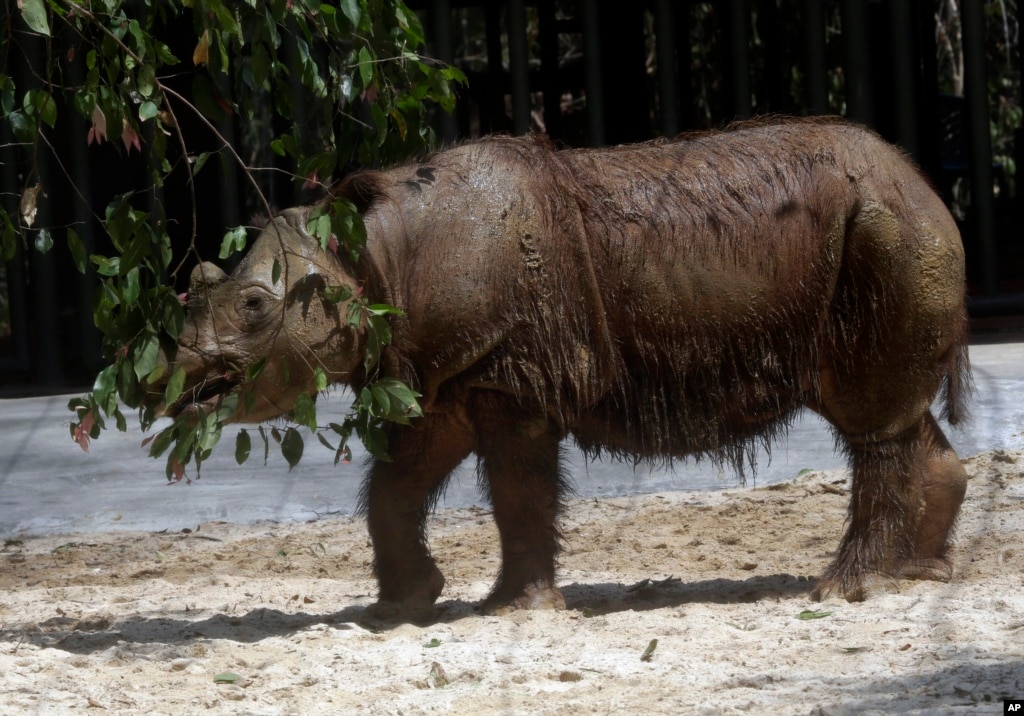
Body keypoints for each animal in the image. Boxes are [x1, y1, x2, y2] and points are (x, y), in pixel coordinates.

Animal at [157, 117, 966, 614]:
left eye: (254, 308)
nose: (175, 382)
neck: (379, 255)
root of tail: (925, 182)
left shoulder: (506, 370)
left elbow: (518, 488)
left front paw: (515, 610)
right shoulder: (449, 371)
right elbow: (395, 486)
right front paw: (404, 606)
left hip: (885, 231)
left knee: (869, 419)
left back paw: (843, 590)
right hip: (885, 234)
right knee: (894, 415)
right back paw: (917, 576)